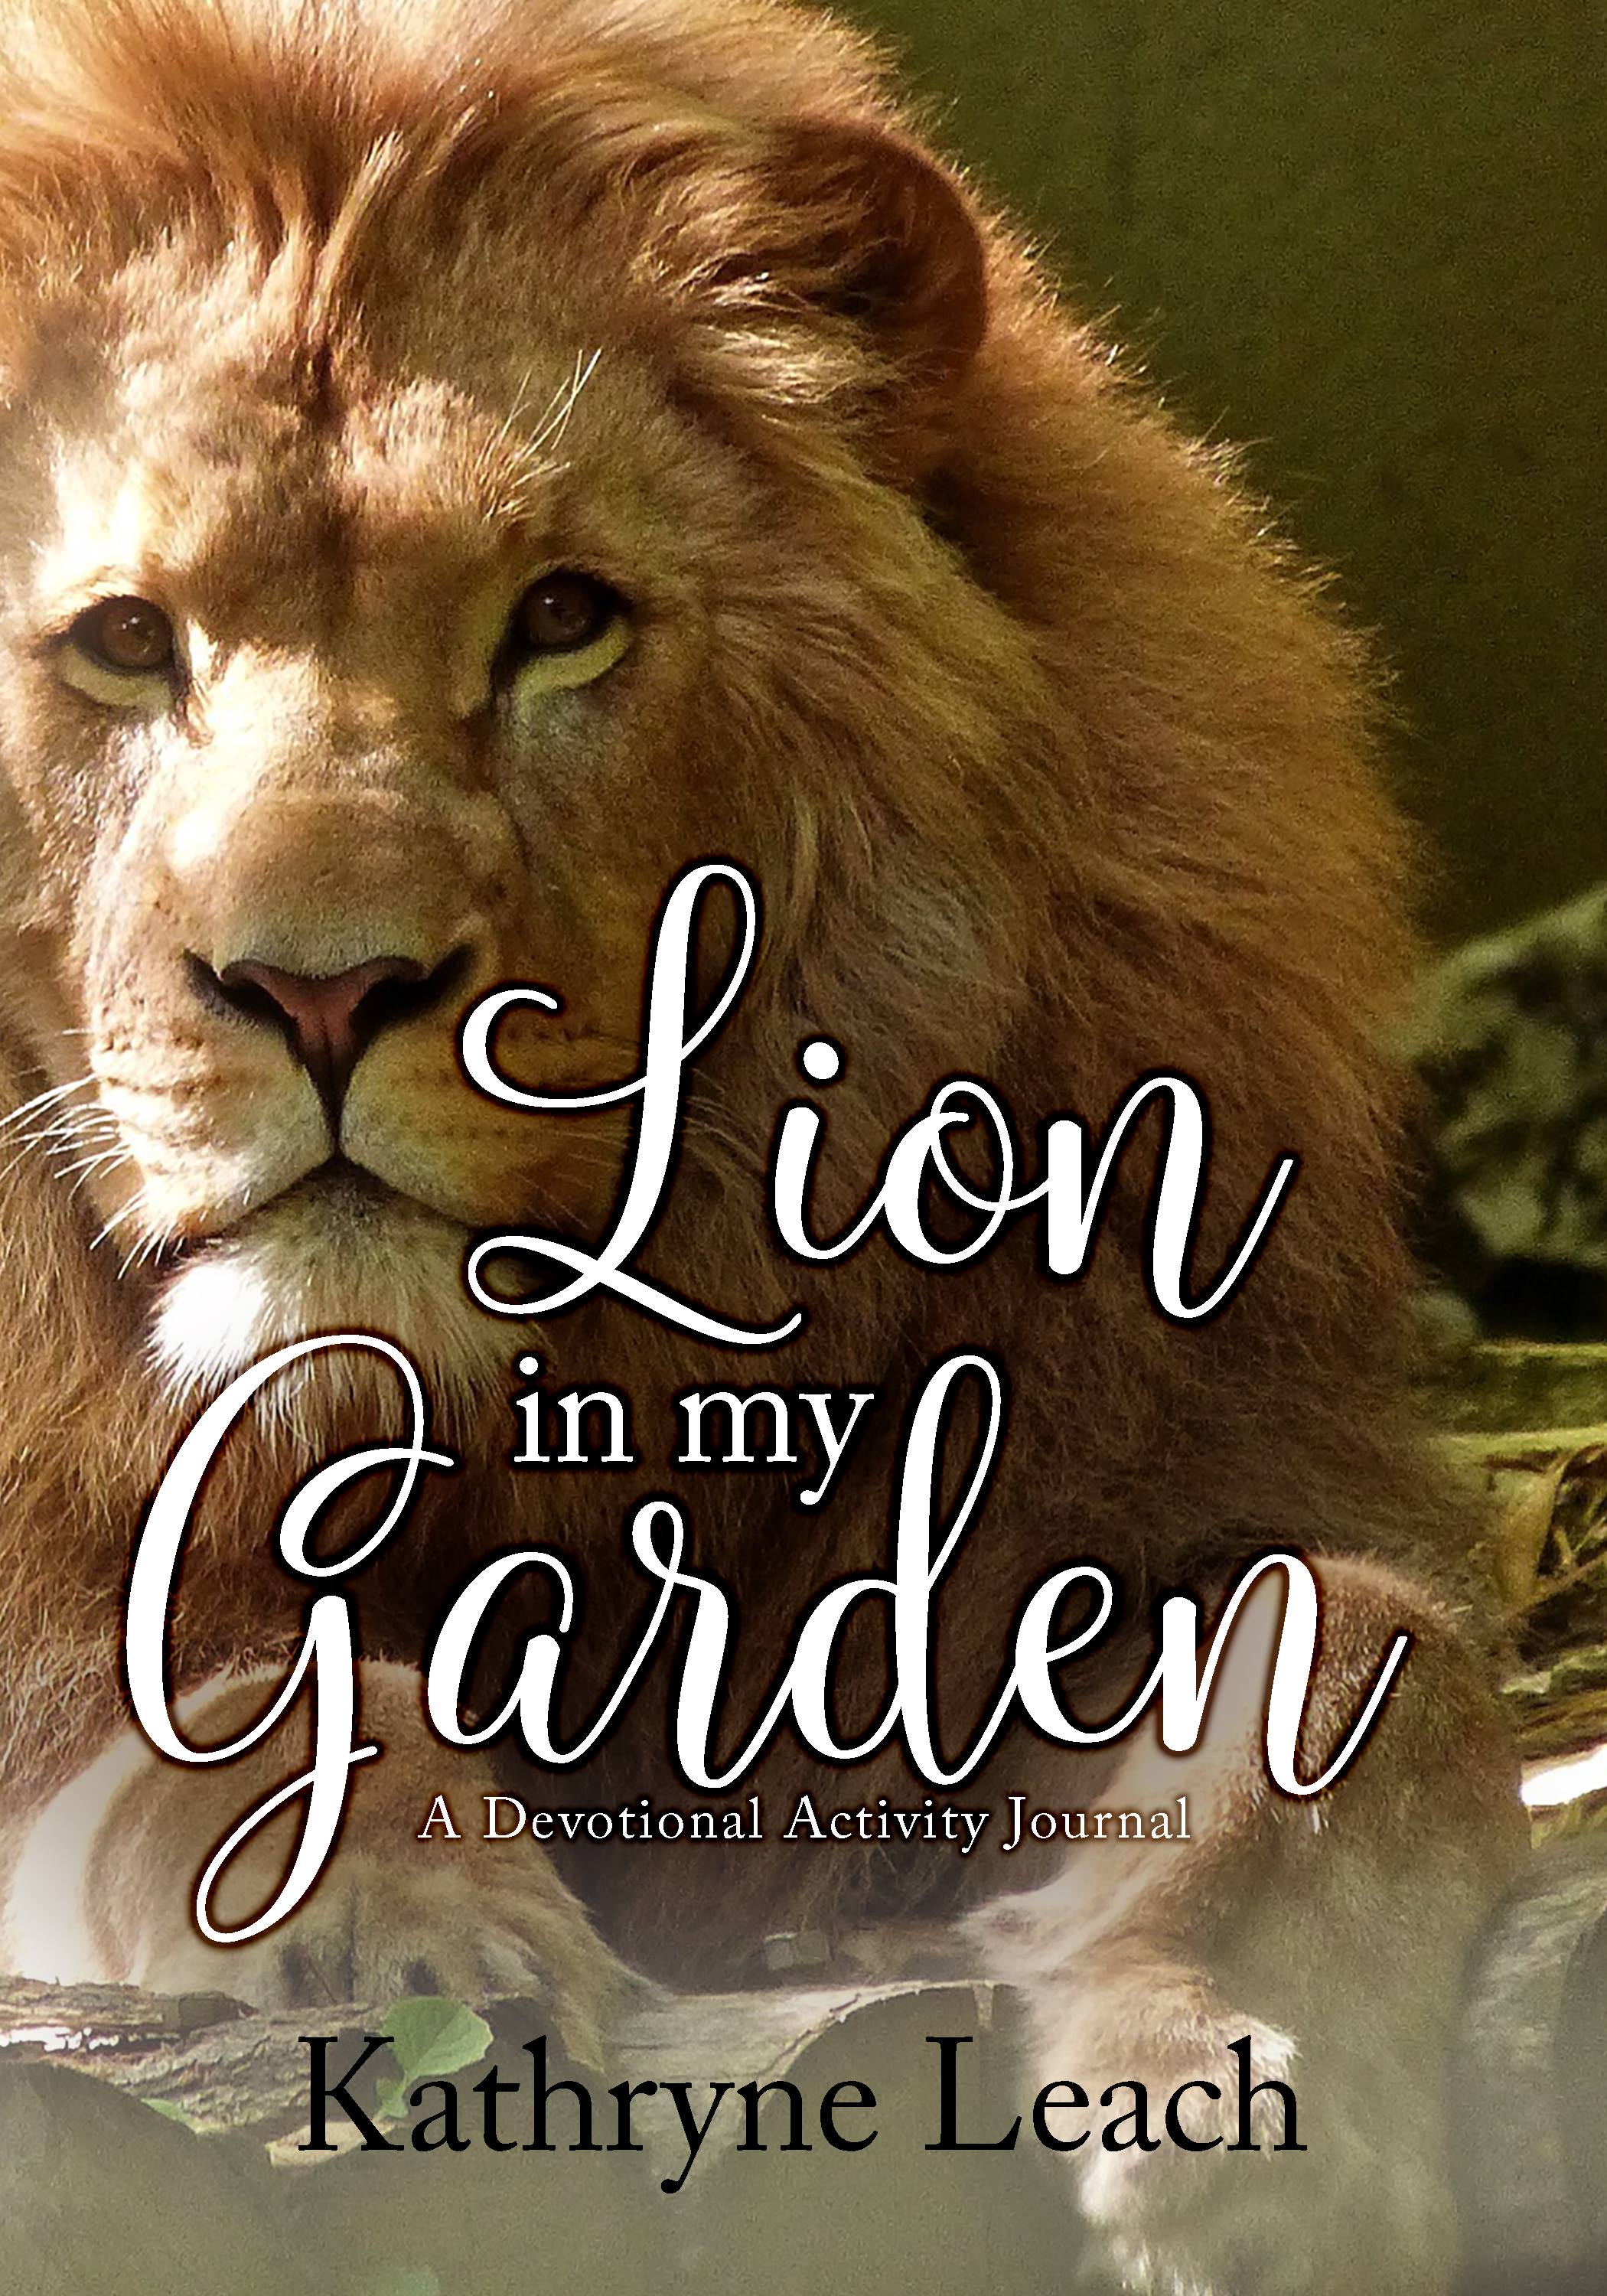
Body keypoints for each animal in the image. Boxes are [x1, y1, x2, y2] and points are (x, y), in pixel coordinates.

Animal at [0, 0, 1524, 2287]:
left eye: (560, 619)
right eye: (119, 639)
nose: (323, 994)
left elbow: (1361, 1666)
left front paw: (1244, 2103)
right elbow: (215, 1699)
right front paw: (401, 1941)